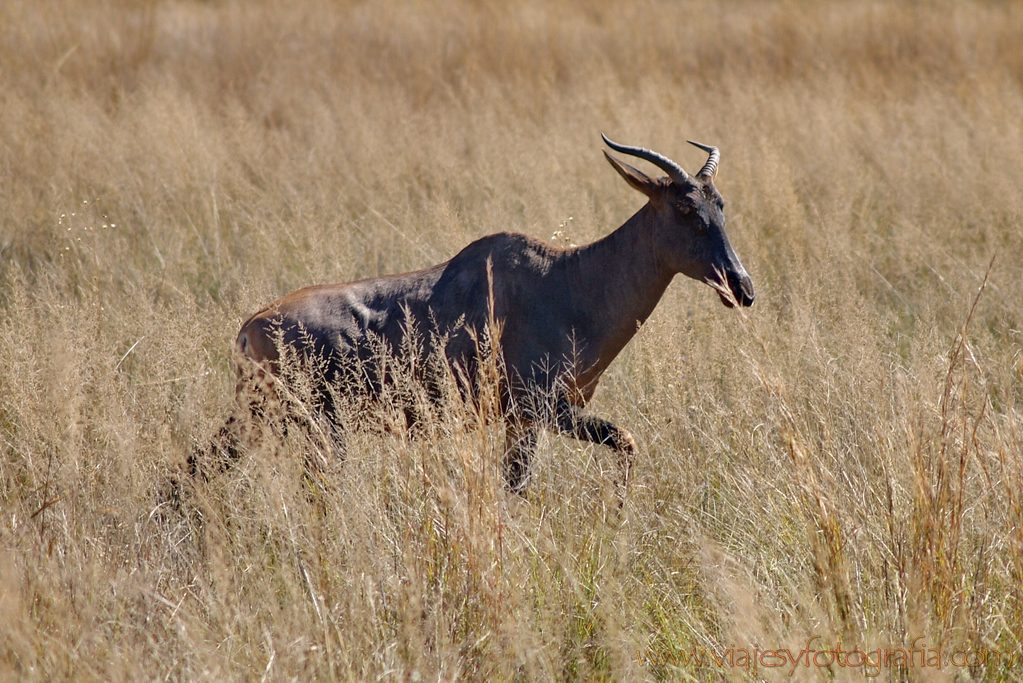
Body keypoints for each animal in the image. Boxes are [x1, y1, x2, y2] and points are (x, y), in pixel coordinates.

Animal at [195, 135, 754, 496]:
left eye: (721, 204)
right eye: (684, 209)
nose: (742, 288)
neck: (565, 279)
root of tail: (250, 327)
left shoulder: (524, 420)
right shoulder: (539, 410)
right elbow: (618, 446)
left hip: (260, 417)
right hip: (309, 425)